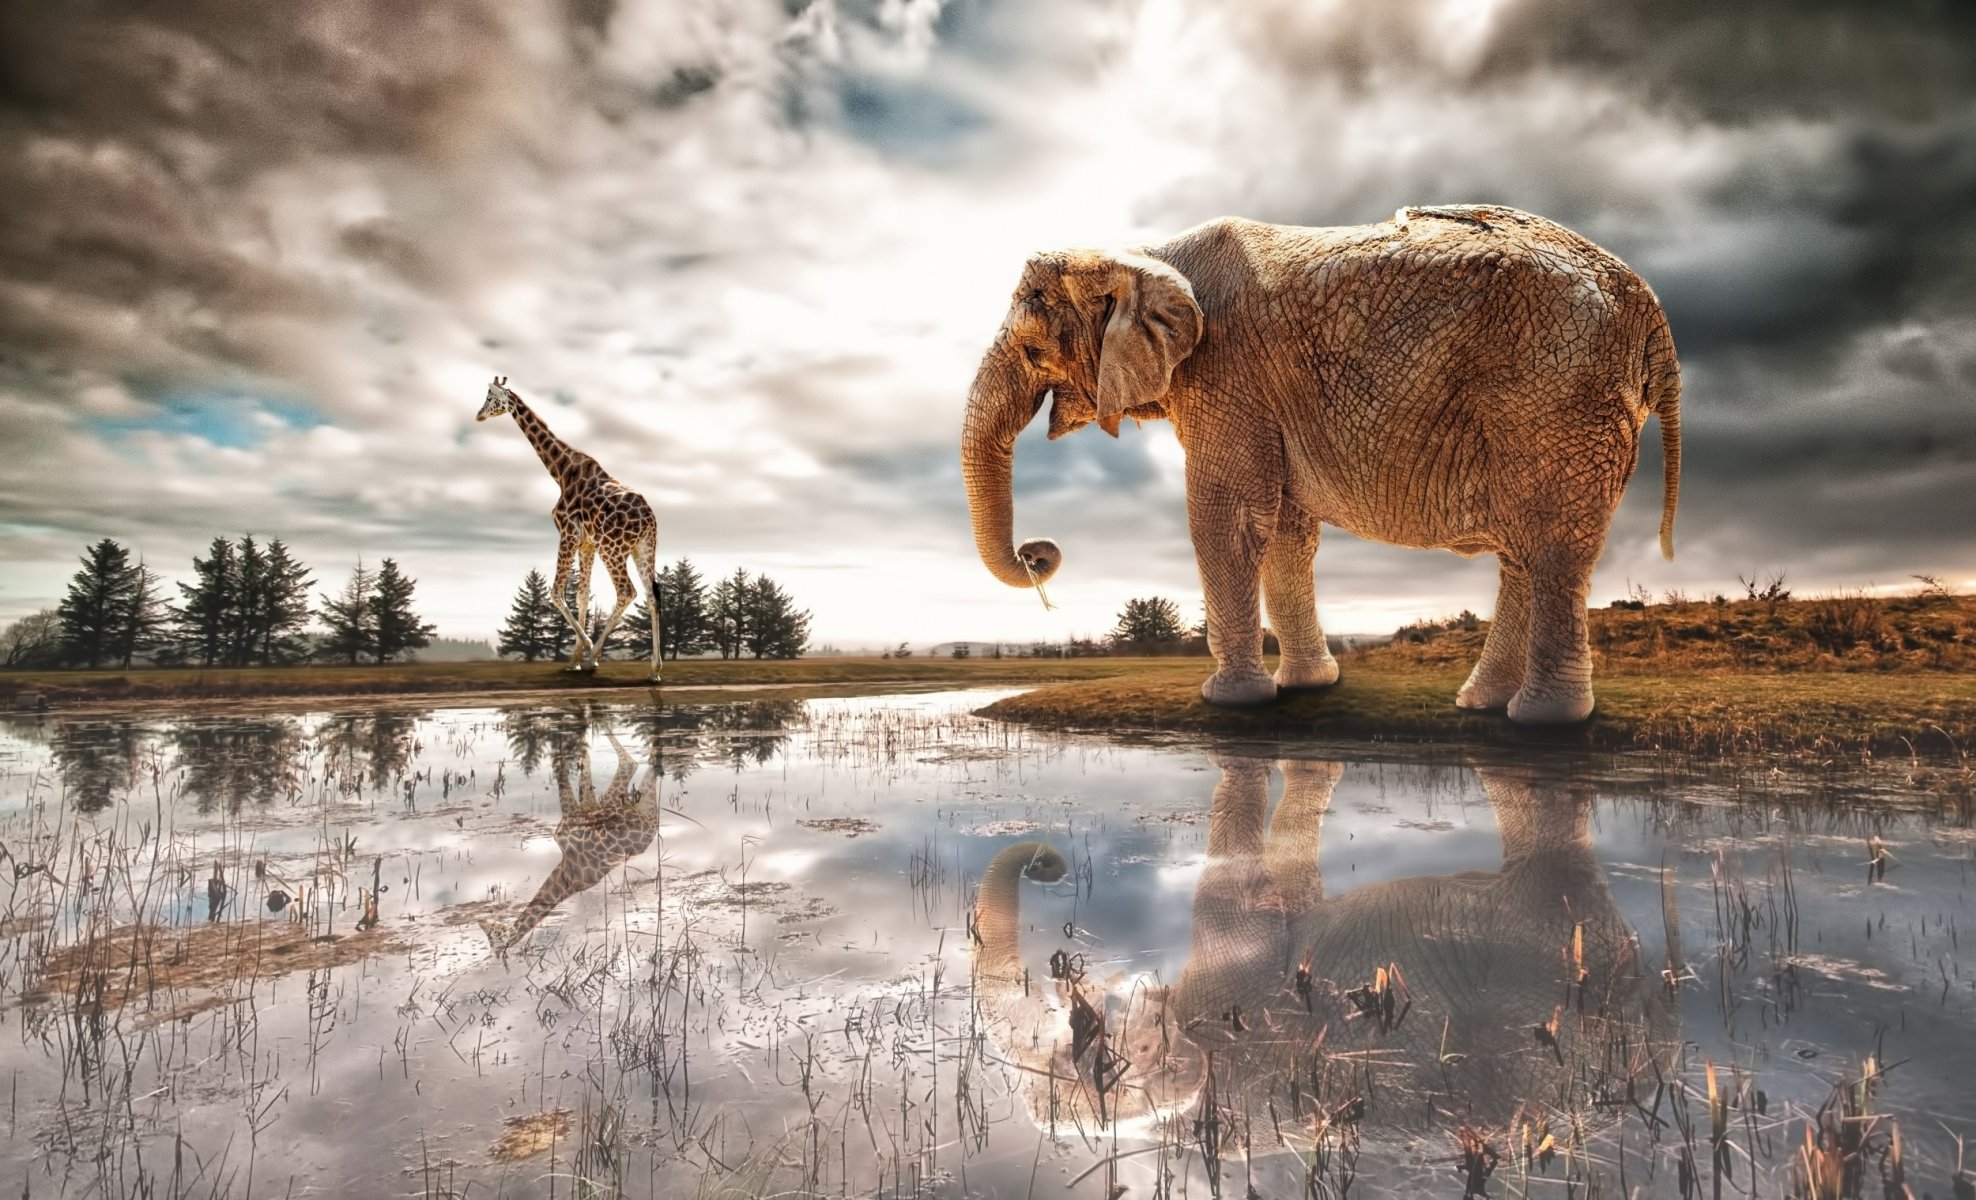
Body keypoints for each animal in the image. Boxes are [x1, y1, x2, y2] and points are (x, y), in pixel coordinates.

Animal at [478, 376, 660, 679]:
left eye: (490, 398)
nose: (478, 415)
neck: (561, 471)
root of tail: (648, 519)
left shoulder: (568, 534)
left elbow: (556, 592)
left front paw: (584, 653)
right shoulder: (586, 543)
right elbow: (582, 595)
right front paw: (575, 658)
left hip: (613, 550)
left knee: (627, 591)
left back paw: (595, 653)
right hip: (643, 549)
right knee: (652, 594)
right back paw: (655, 670)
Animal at [479, 728, 658, 954]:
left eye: (492, 937)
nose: (497, 952)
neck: (568, 877)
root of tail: (650, 828)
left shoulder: (576, 816)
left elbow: (564, 769)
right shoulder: (583, 811)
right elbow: (579, 769)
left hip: (618, 804)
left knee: (629, 762)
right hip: (638, 805)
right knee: (639, 766)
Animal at [960, 204, 1682, 723]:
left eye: (1032, 351)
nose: (1038, 553)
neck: (1145, 255)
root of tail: (1649, 306)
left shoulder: (1229, 372)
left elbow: (1226, 519)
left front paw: (1229, 701)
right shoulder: (1264, 392)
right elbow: (1285, 529)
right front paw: (1306, 687)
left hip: (1557, 396)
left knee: (1552, 547)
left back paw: (1543, 722)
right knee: (1524, 554)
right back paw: (1482, 705)